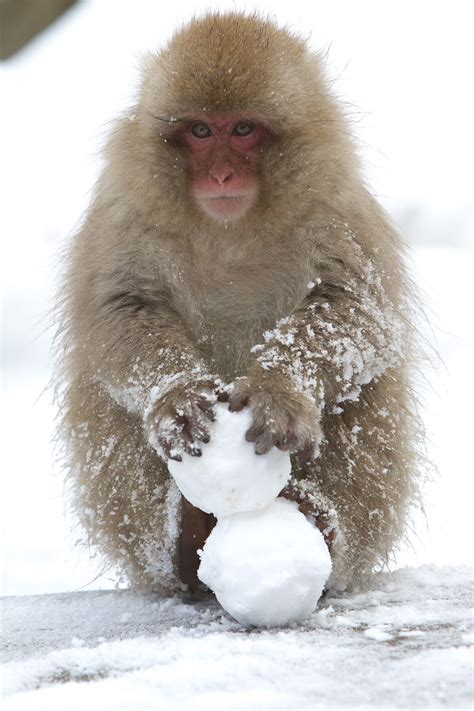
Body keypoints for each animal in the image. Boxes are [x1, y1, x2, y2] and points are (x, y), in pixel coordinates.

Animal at [56, 15, 422, 596]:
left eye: (244, 130)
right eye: (202, 132)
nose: (222, 176)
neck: (231, 230)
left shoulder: (336, 204)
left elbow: (360, 312)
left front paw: (279, 391)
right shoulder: (125, 206)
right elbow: (120, 310)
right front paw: (177, 395)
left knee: (368, 392)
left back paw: (317, 519)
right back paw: (182, 541)